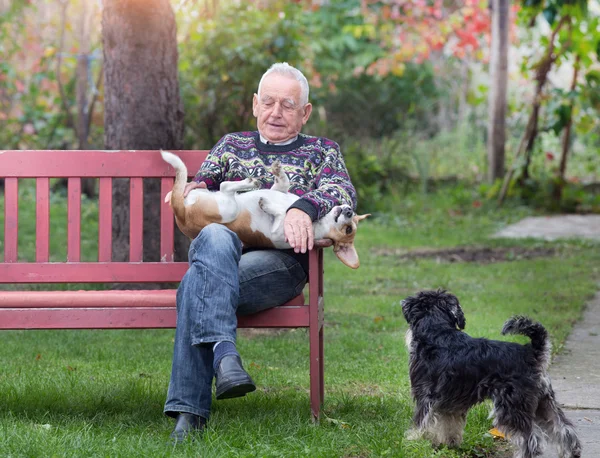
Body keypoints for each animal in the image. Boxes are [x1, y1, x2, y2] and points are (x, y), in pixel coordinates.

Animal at [162, 152, 368, 268]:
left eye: (349, 229)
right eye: (352, 223)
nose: (349, 210)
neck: (317, 222)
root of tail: (181, 212)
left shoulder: (278, 231)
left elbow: (281, 213)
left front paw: (266, 205)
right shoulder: (279, 189)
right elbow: (283, 183)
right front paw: (279, 171)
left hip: (228, 208)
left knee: (225, 187)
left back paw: (249, 183)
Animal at [400, 290, 580, 458]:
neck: (436, 334)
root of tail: (532, 353)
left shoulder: (426, 395)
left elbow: (420, 422)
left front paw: (412, 442)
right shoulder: (451, 402)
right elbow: (450, 425)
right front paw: (448, 444)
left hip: (511, 407)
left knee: (531, 439)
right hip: (544, 403)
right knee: (564, 429)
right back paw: (572, 452)